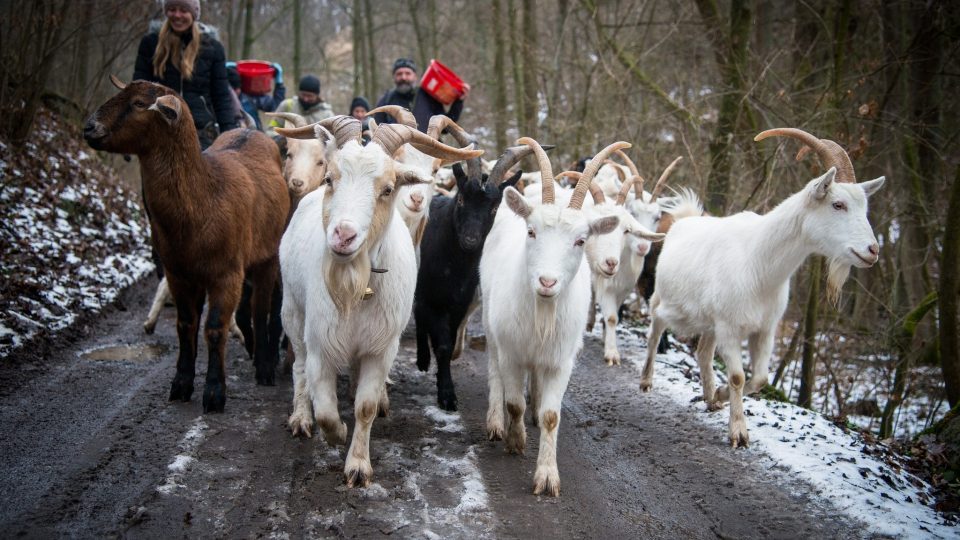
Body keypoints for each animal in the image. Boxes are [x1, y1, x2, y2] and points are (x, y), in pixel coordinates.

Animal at [85, 76, 288, 412]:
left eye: (139, 104)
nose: (89, 127)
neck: (205, 195)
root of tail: (250, 130)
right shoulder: (177, 273)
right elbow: (186, 324)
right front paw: (181, 384)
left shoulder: (226, 274)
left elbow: (215, 328)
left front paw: (214, 393)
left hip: (267, 257)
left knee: (261, 311)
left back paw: (265, 367)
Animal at [278, 113, 484, 486]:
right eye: (330, 178)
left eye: (387, 189)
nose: (343, 235)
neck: (358, 287)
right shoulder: (320, 343)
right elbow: (325, 407)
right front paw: (335, 433)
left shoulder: (381, 347)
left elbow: (366, 406)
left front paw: (358, 466)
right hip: (292, 309)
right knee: (298, 366)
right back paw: (300, 418)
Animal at [478, 138, 624, 494]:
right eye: (531, 232)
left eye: (581, 240)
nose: (547, 282)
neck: (542, 310)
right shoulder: (512, 352)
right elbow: (513, 402)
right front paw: (516, 441)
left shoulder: (560, 360)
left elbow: (551, 416)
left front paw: (546, 476)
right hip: (491, 323)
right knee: (495, 372)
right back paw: (496, 422)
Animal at [640, 126, 880, 448]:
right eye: (838, 204)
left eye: (864, 207)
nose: (872, 250)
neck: (759, 262)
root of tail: (683, 220)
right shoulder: (730, 330)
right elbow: (739, 377)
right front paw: (739, 433)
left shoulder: (764, 330)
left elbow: (759, 379)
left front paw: (721, 397)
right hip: (663, 301)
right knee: (654, 333)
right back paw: (646, 381)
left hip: (711, 323)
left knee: (703, 352)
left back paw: (710, 397)